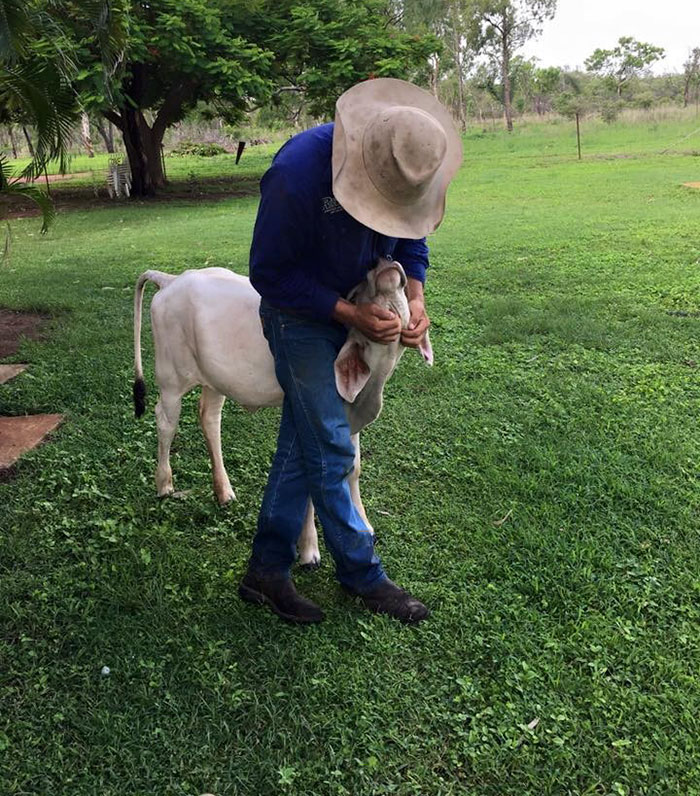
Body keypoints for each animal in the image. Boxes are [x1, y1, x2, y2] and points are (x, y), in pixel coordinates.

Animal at [132, 258, 432, 568]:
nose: (384, 264)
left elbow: (354, 468)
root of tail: (172, 280)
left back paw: (224, 490)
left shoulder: (350, 418)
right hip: (171, 378)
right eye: (353, 295)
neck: (372, 386)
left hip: (215, 380)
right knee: (166, 421)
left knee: (209, 418)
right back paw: (164, 484)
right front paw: (309, 548)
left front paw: (364, 524)